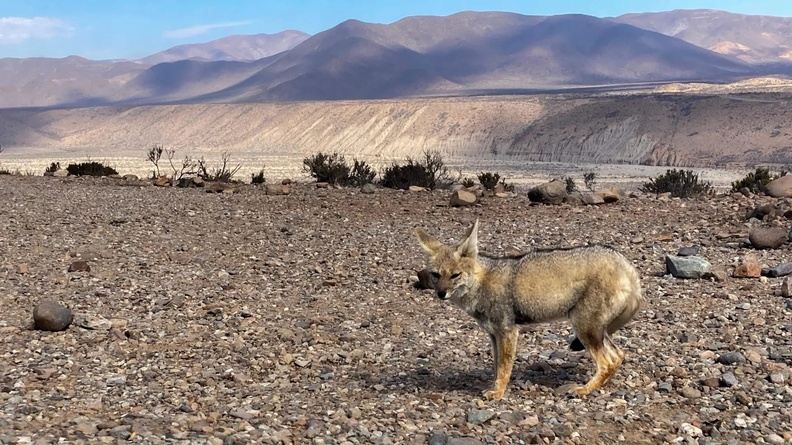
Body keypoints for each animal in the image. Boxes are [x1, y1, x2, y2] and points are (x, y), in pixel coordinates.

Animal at [415, 219, 642, 400]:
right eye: (435, 275)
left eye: (455, 275)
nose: (441, 293)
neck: (481, 282)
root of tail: (625, 263)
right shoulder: (493, 334)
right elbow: (497, 366)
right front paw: (493, 387)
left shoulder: (507, 331)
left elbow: (504, 367)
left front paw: (498, 393)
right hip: (596, 330)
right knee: (618, 355)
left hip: (584, 327)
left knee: (606, 362)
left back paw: (585, 389)